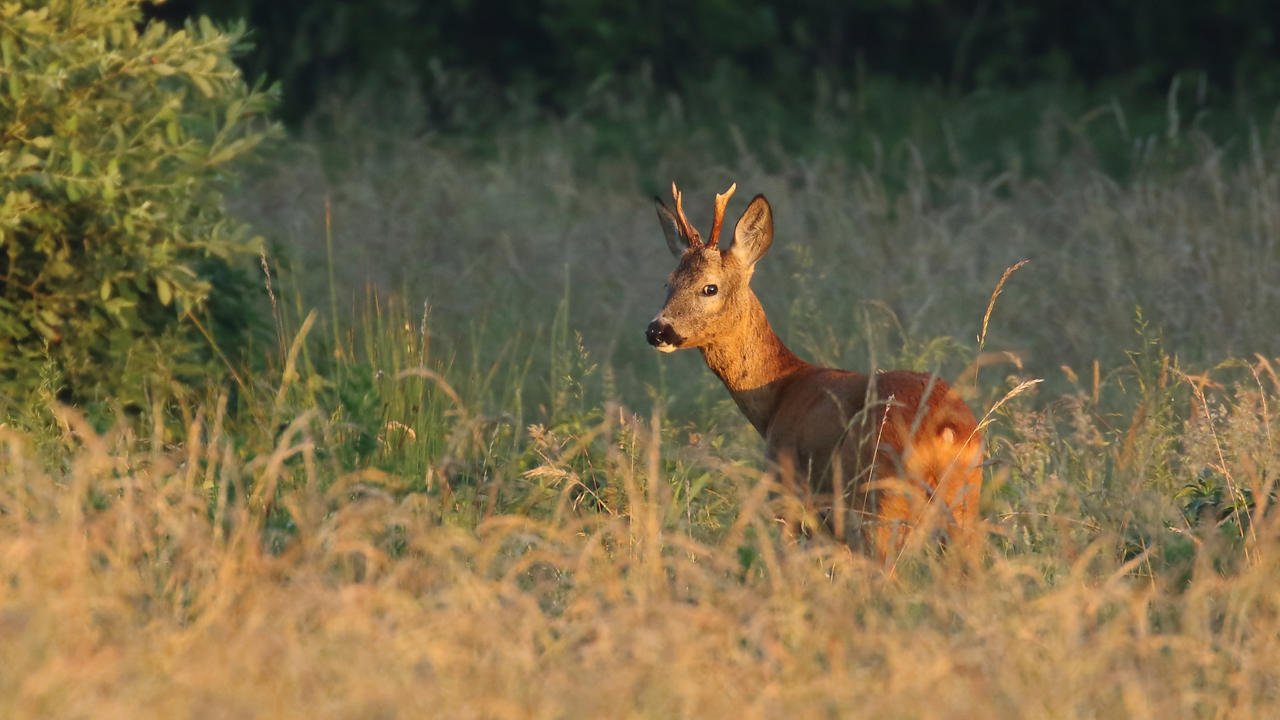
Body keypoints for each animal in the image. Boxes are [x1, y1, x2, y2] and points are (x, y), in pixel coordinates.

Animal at [645, 180, 983, 561]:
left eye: (709, 287)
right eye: (668, 283)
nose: (657, 331)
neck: (780, 391)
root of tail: (947, 429)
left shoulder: (786, 484)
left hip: (880, 497)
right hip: (964, 503)